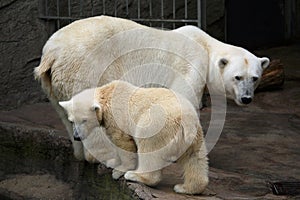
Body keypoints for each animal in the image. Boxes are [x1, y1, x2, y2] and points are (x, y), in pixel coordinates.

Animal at [34, 15, 270, 161]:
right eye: (238, 77)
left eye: (255, 77)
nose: (247, 98)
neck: (205, 47)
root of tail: (52, 52)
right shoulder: (190, 66)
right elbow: (183, 101)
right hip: (87, 66)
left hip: (53, 82)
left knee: (66, 112)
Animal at [58, 80, 209, 195]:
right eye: (71, 121)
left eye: (84, 120)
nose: (77, 137)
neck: (107, 94)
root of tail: (186, 120)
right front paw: (112, 162)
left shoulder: (117, 116)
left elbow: (123, 142)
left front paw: (119, 170)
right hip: (194, 135)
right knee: (195, 158)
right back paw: (185, 188)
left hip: (157, 125)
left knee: (149, 149)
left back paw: (135, 175)